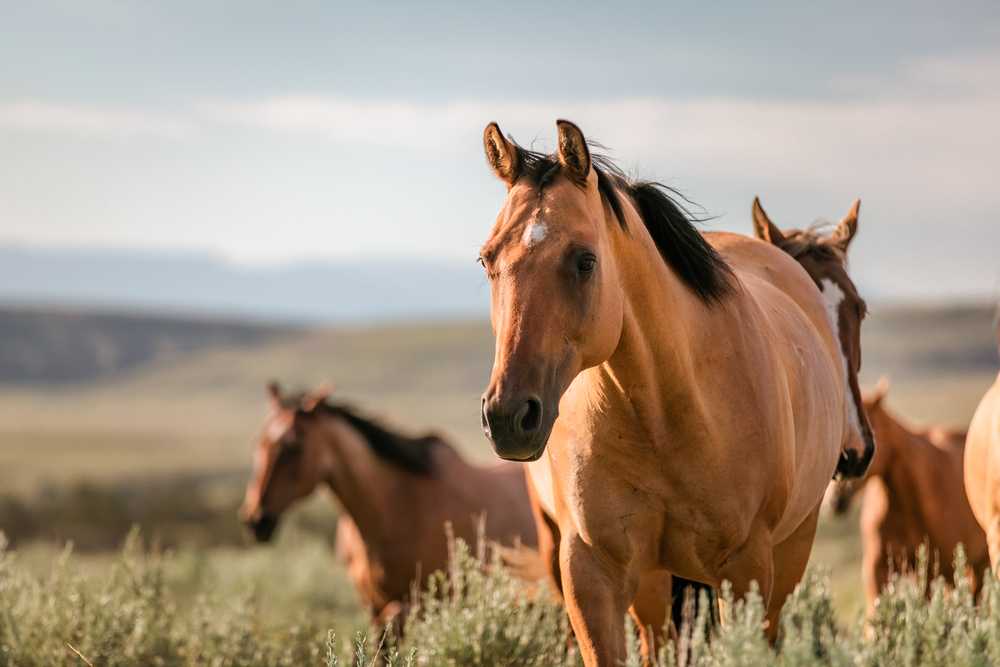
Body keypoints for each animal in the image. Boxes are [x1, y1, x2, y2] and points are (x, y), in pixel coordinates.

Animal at [240, 384, 540, 628]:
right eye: (259, 442)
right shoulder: (374, 610)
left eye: (294, 446)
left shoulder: (405, 609)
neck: (393, 508)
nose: (255, 521)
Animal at [474, 121, 868, 667]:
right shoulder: (590, 574)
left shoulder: (745, 570)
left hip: (785, 558)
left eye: (585, 260)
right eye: (486, 259)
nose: (509, 416)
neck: (663, 413)